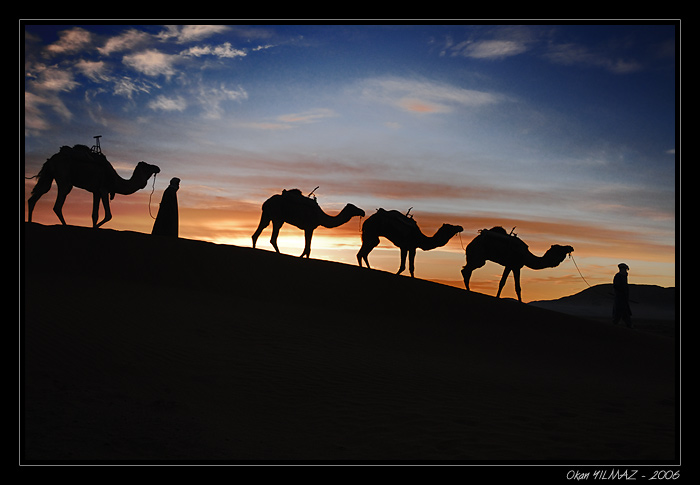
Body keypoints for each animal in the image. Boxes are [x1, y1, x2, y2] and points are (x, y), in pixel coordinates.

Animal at [26, 144, 160, 227]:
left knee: (35, 197)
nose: (157, 167)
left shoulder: (96, 192)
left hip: (49, 176)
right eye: (148, 166)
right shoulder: (104, 190)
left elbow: (94, 215)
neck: (116, 181)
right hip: (64, 179)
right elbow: (108, 215)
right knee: (57, 205)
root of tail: (51, 159)